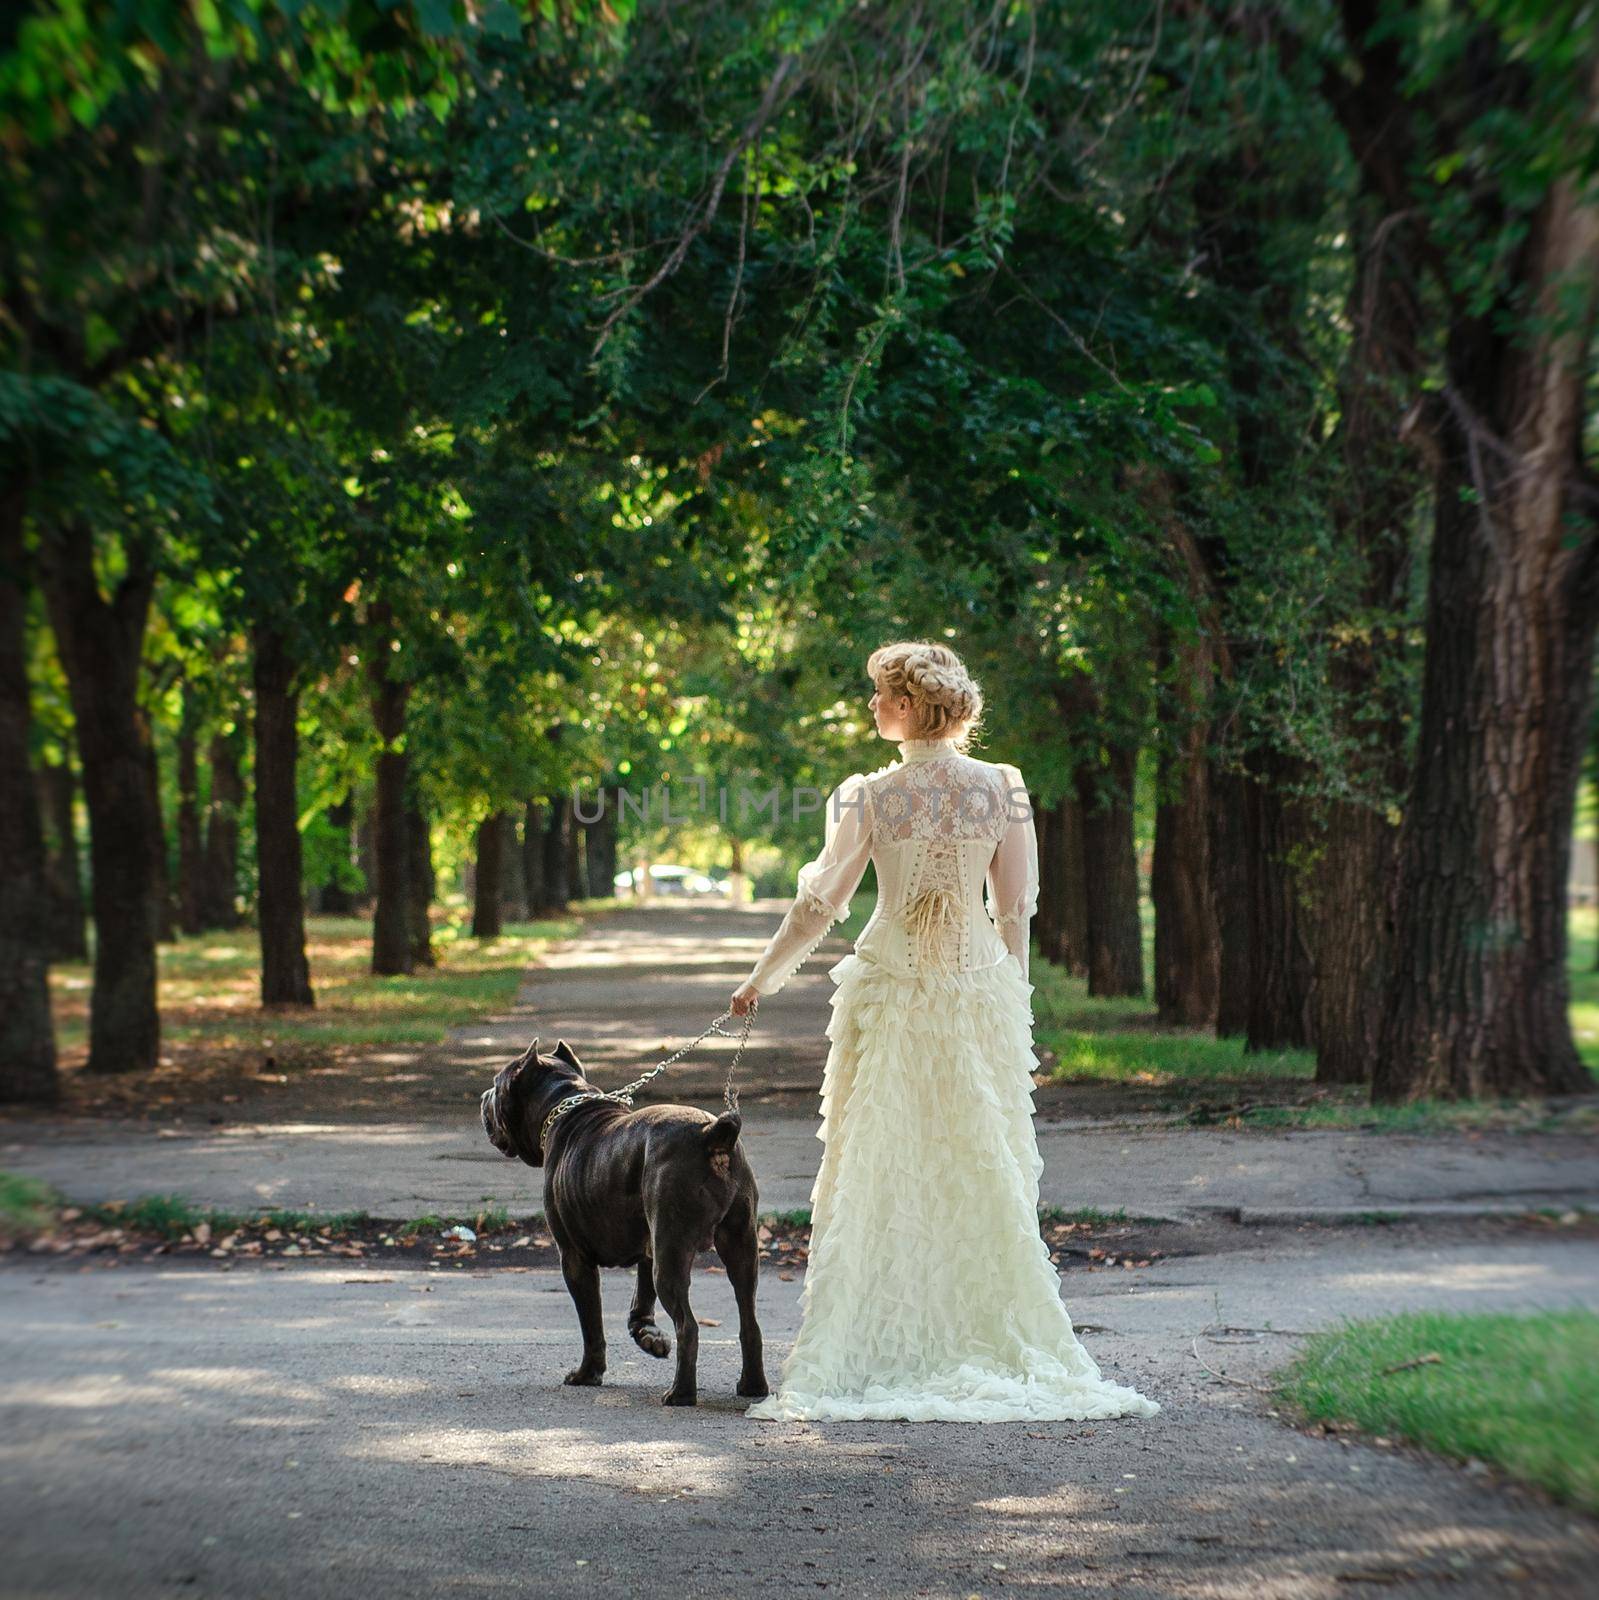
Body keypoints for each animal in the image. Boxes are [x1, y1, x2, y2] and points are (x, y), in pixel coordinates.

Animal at [480, 1030, 768, 1408]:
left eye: (496, 1086)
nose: (483, 1097)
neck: (565, 1102)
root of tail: (712, 1134)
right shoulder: (649, 1245)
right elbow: (640, 1301)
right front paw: (650, 1338)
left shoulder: (574, 1259)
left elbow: (591, 1323)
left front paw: (587, 1374)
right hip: (739, 1245)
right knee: (749, 1320)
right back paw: (753, 1386)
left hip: (673, 1253)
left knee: (688, 1326)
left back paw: (680, 1393)